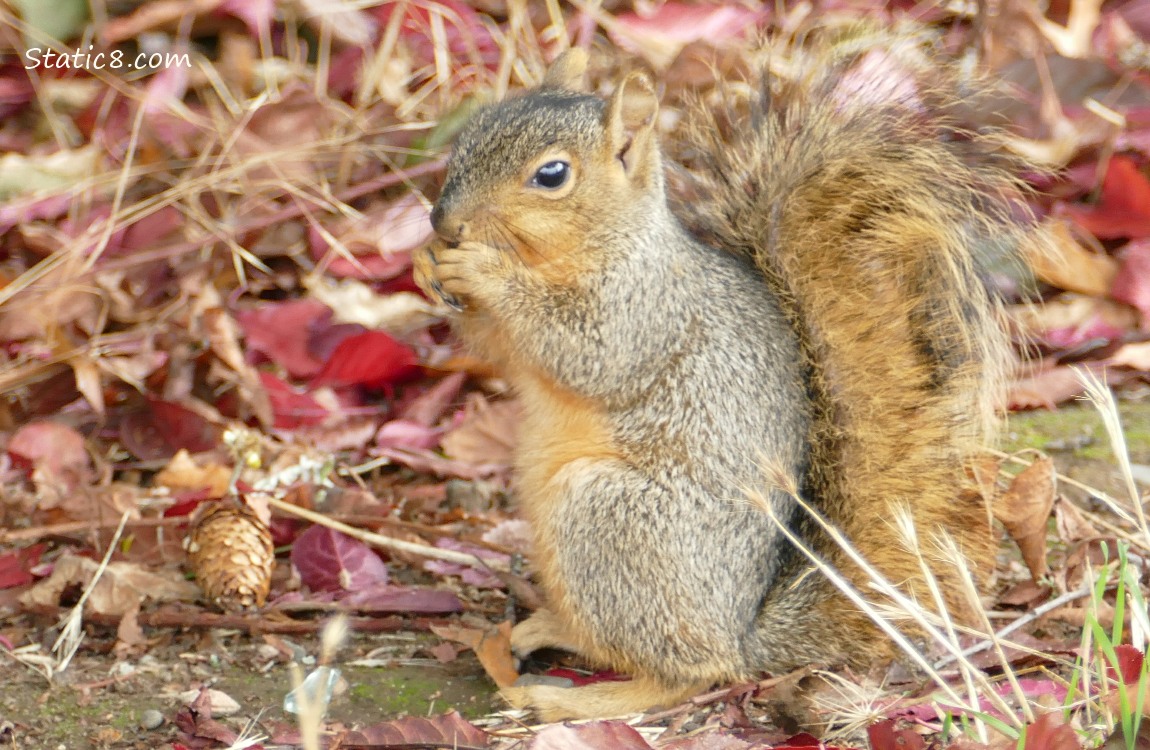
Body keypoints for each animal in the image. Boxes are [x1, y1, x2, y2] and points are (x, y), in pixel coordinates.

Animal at [413, 35, 1030, 722]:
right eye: (471, 135)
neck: (593, 246)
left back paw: (576, 701)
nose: (444, 222)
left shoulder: (643, 309)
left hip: (609, 520)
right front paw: (427, 264)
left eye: (551, 175)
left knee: (690, 670)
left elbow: (587, 351)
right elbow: (498, 346)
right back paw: (547, 630)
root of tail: (742, 632)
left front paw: (479, 268)